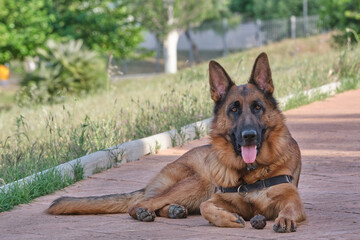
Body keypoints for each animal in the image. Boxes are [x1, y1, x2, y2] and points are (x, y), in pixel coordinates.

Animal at [48, 53, 306, 232]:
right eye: (234, 109)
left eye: (258, 107)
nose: (249, 135)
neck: (250, 174)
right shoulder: (215, 198)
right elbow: (206, 208)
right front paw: (229, 219)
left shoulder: (292, 200)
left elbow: (289, 209)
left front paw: (284, 219)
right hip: (198, 183)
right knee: (142, 203)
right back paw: (149, 211)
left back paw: (173, 210)